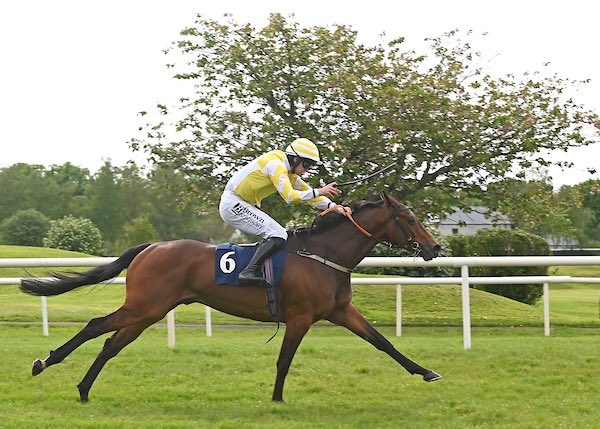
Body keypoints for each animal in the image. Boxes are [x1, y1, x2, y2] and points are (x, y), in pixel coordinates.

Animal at [21, 191, 440, 402]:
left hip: (149, 311)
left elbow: (383, 342)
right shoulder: (301, 318)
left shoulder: (341, 311)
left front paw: (426, 371)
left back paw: (83, 389)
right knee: (96, 326)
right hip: (144, 305)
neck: (324, 254)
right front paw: (277, 400)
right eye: (410, 219)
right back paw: (45, 363)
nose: (434, 247)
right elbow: (284, 360)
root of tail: (151, 246)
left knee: (112, 343)